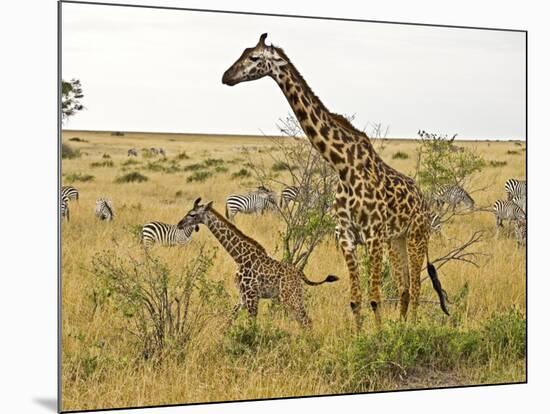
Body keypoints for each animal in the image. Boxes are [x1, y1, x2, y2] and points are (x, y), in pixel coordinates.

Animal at [179, 197, 338, 326]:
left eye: (192, 214)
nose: (179, 224)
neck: (239, 257)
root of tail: (299, 273)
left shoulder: (251, 296)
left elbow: (251, 325)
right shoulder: (243, 297)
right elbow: (230, 318)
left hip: (290, 296)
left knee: (306, 321)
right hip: (292, 296)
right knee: (303, 321)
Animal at [221, 33, 448, 330]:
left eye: (254, 57)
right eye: (243, 52)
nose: (226, 76)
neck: (343, 166)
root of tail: (424, 201)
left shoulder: (372, 236)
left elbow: (374, 297)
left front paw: (381, 337)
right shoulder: (347, 237)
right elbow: (356, 300)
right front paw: (362, 336)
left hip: (416, 235)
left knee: (418, 287)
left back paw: (411, 329)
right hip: (396, 240)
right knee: (404, 288)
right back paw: (402, 327)